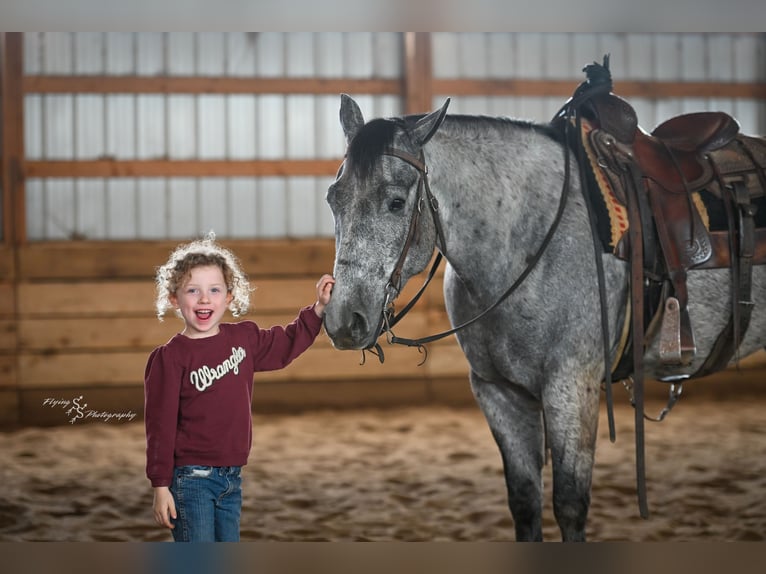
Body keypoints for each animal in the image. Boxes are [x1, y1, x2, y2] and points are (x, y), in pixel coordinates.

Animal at [321, 86, 766, 541]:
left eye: (396, 203)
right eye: (333, 198)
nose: (343, 320)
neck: (525, 242)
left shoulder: (571, 388)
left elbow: (569, 504)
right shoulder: (498, 392)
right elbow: (524, 500)